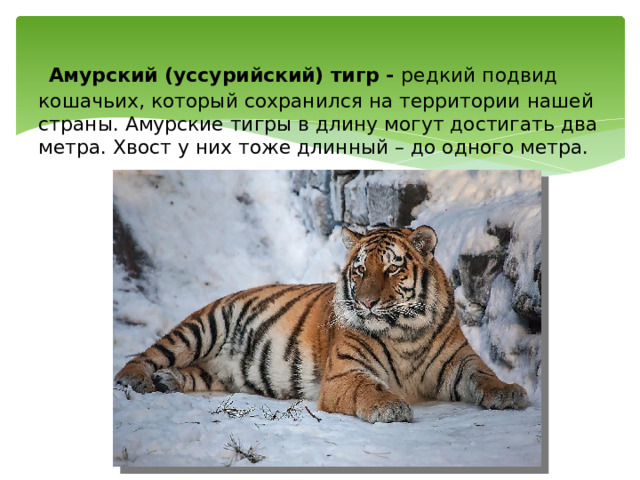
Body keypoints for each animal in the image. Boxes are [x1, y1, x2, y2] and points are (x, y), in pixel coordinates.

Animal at [115, 225, 528, 423]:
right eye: (360, 270)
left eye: (392, 268)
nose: (367, 302)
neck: (404, 331)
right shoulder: (345, 373)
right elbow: (370, 389)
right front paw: (390, 407)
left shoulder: (459, 361)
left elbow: (483, 376)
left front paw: (509, 392)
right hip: (202, 326)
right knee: (149, 354)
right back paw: (135, 380)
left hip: (222, 373)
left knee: (195, 373)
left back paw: (168, 380)